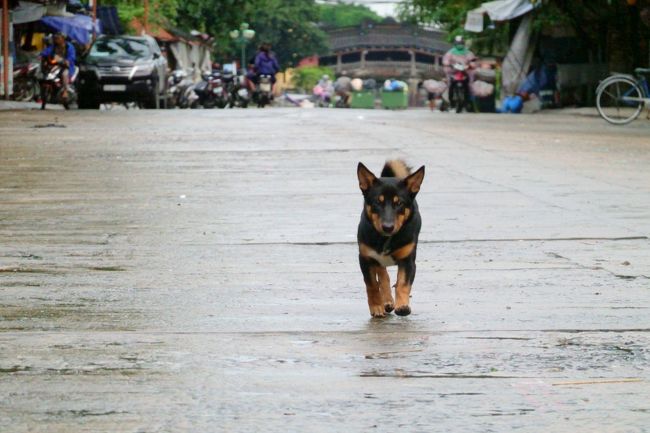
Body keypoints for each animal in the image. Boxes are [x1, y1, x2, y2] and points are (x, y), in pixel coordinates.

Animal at [354, 160, 426, 316]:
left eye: (399, 203)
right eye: (377, 202)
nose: (388, 227)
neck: (386, 238)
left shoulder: (408, 261)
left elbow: (403, 283)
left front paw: (402, 306)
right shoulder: (366, 258)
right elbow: (372, 285)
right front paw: (376, 307)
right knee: (383, 276)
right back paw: (386, 301)